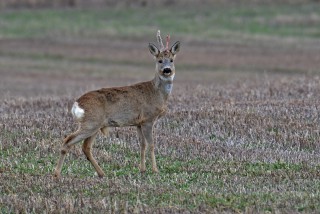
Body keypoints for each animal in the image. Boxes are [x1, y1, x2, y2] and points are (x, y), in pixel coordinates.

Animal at [53, 30, 180, 177]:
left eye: (171, 60)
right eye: (159, 60)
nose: (167, 70)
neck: (157, 93)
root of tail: (77, 103)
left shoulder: (138, 122)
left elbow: (142, 144)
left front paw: (142, 169)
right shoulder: (148, 119)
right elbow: (152, 144)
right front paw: (155, 170)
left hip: (95, 125)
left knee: (86, 147)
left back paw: (101, 173)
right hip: (91, 123)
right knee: (68, 141)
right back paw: (56, 174)